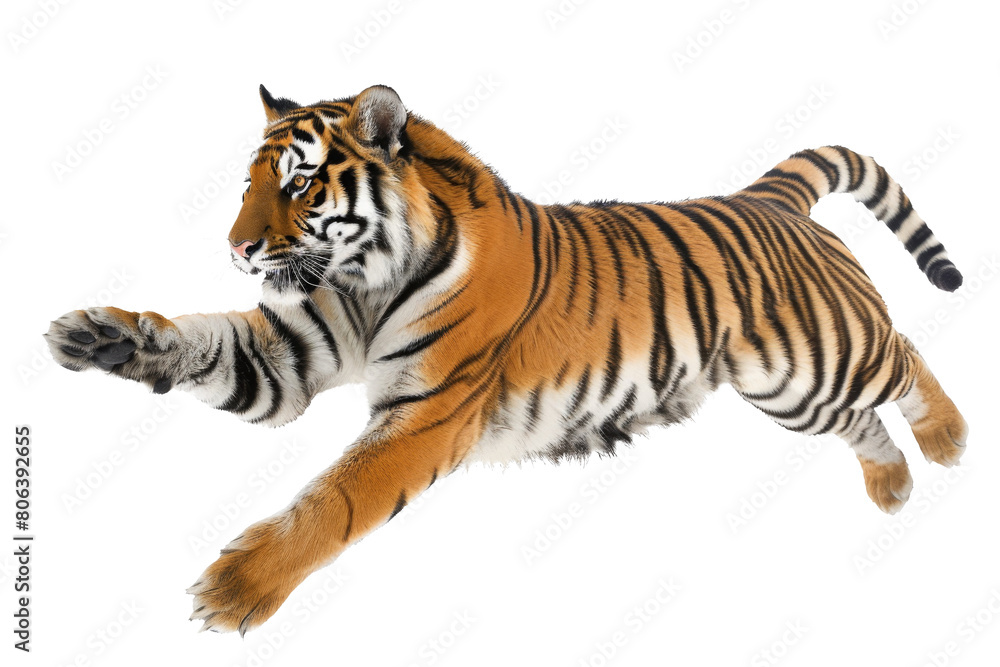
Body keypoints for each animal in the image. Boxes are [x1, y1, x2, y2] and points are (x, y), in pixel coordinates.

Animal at [45, 84, 968, 634]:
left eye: (301, 184)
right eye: (248, 184)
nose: (237, 249)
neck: (364, 277)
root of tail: (763, 195)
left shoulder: (428, 412)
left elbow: (333, 499)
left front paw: (233, 589)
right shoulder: (289, 356)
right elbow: (200, 341)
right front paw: (98, 335)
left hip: (816, 357)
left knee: (906, 349)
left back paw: (949, 437)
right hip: (788, 390)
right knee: (861, 417)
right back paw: (893, 485)